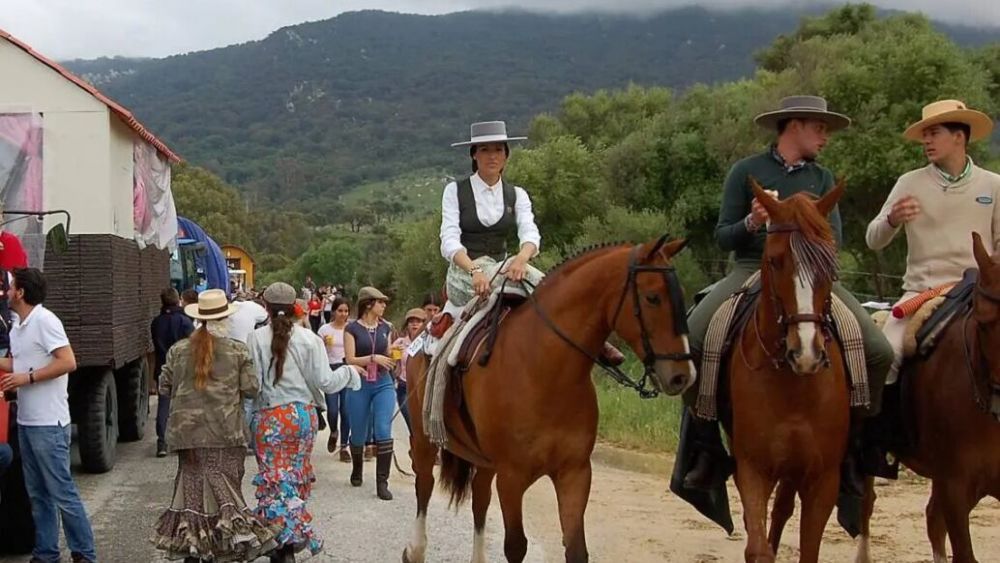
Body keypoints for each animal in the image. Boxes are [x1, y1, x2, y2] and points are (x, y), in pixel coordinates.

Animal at [398, 236, 696, 560]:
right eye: (653, 297)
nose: (683, 375)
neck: (544, 367)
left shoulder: (575, 473)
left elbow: (576, 548)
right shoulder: (511, 478)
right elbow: (515, 546)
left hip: (485, 461)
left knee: (479, 499)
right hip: (425, 440)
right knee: (424, 486)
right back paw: (414, 550)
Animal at [724, 181, 848, 563]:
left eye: (829, 262)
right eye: (775, 261)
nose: (805, 353)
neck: (794, 388)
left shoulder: (823, 479)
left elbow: (809, 548)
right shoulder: (754, 468)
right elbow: (757, 546)